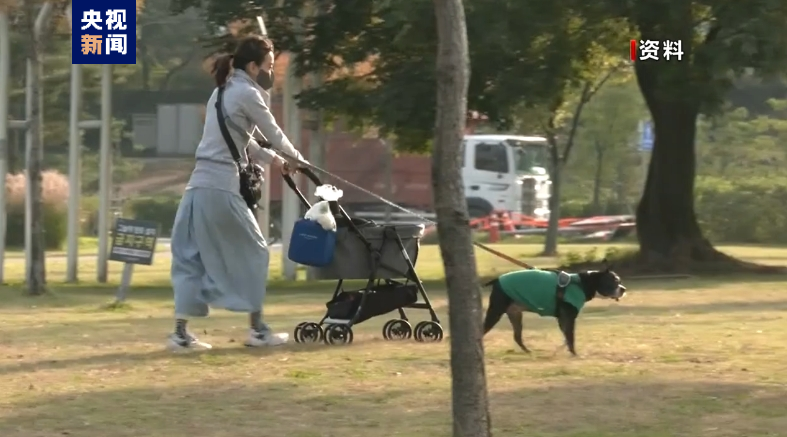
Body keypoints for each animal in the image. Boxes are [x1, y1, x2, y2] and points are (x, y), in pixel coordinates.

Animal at [484, 266, 624, 354]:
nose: (623, 288)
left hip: (515, 315)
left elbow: (566, 336)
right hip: (495, 311)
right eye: (614, 282)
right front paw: (574, 354)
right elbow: (570, 336)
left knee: (517, 336)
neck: (581, 284)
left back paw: (528, 351)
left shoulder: (562, 319)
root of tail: (497, 280)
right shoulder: (569, 317)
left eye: (619, 281)